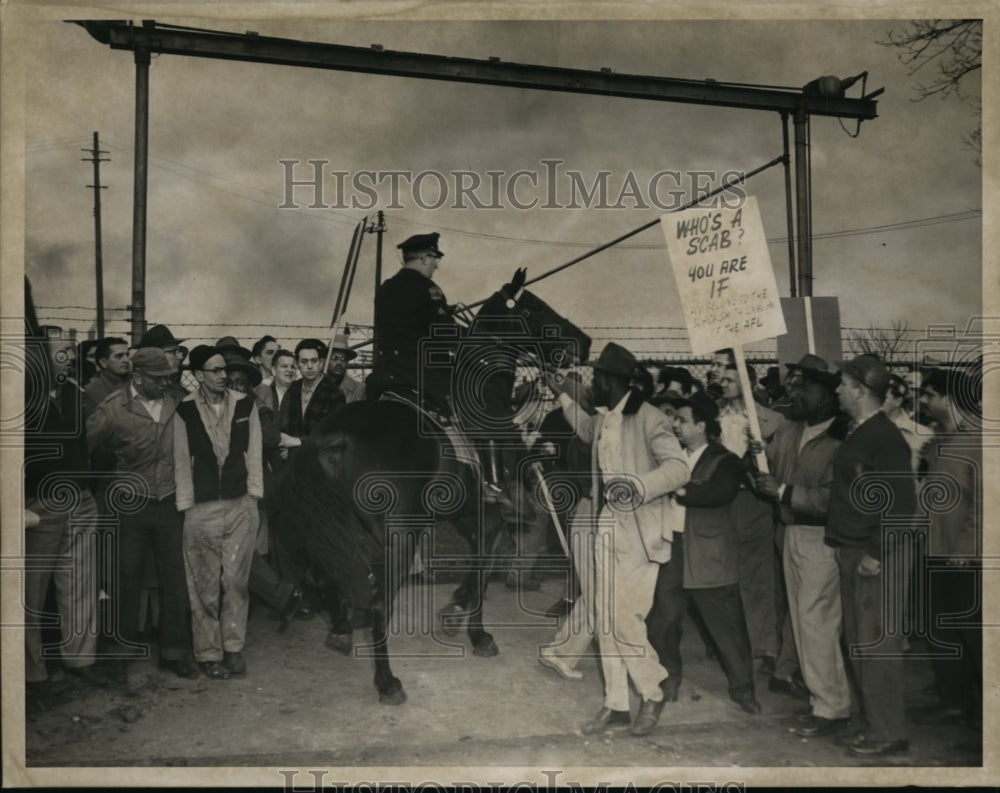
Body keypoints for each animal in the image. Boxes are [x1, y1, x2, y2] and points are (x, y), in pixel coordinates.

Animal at [270, 286, 588, 704]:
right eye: (535, 307)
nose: (583, 343)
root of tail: (337, 434)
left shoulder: (468, 516)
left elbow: (478, 568)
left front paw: (455, 608)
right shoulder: (490, 518)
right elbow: (483, 570)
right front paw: (475, 631)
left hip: (332, 529)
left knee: (325, 577)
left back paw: (339, 627)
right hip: (400, 535)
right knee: (377, 601)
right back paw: (387, 681)